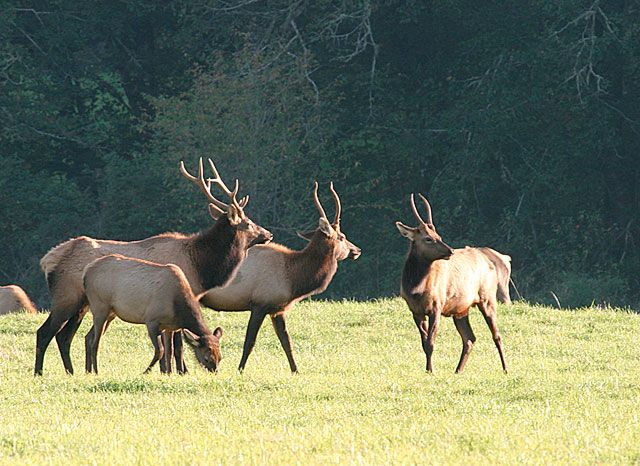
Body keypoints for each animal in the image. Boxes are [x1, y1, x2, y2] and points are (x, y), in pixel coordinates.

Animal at [83, 253, 222, 374]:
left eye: (220, 357)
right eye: (207, 358)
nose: (214, 372)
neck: (178, 307)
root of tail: (86, 273)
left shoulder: (170, 327)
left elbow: (169, 351)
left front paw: (168, 373)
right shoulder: (151, 321)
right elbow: (160, 350)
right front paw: (146, 372)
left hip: (111, 314)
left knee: (88, 337)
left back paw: (88, 370)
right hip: (99, 306)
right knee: (95, 343)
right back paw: (96, 371)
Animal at [392, 195, 508, 374]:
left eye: (438, 236)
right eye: (428, 238)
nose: (450, 251)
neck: (415, 288)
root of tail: (489, 262)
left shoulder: (436, 306)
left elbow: (431, 343)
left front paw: (431, 371)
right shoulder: (415, 310)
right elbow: (424, 343)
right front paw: (427, 370)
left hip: (488, 298)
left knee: (497, 335)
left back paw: (505, 369)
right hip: (461, 310)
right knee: (469, 338)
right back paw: (458, 370)